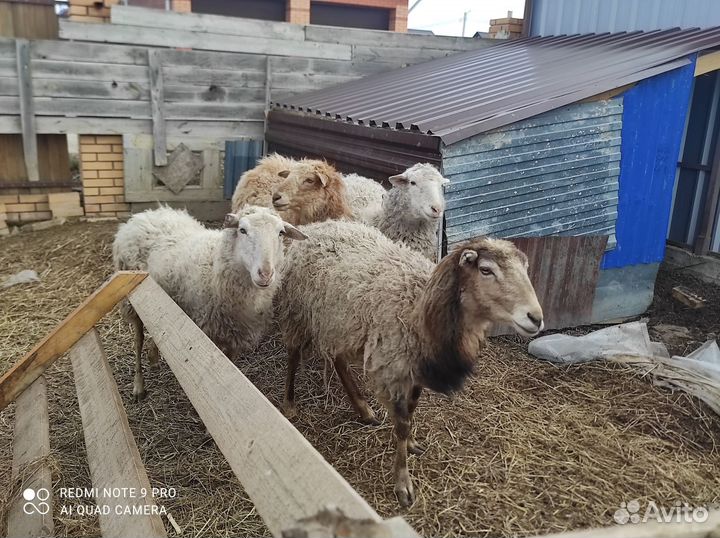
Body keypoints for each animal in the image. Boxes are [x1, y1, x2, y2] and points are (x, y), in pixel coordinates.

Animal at [113, 205, 306, 401]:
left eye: (280, 233)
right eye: (242, 230)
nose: (265, 274)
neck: (214, 266)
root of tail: (145, 214)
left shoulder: (234, 337)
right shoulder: (206, 333)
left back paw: (153, 356)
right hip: (131, 297)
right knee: (138, 339)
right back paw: (138, 385)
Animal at [276, 219, 543, 507]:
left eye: (525, 269)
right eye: (486, 270)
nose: (536, 318)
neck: (420, 308)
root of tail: (319, 226)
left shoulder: (415, 369)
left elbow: (411, 413)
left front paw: (412, 443)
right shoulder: (394, 369)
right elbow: (402, 424)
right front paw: (403, 482)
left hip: (339, 322)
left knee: (338, 360)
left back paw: (363, 409)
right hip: (299, 311)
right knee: (293, 354)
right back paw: (289, 404)